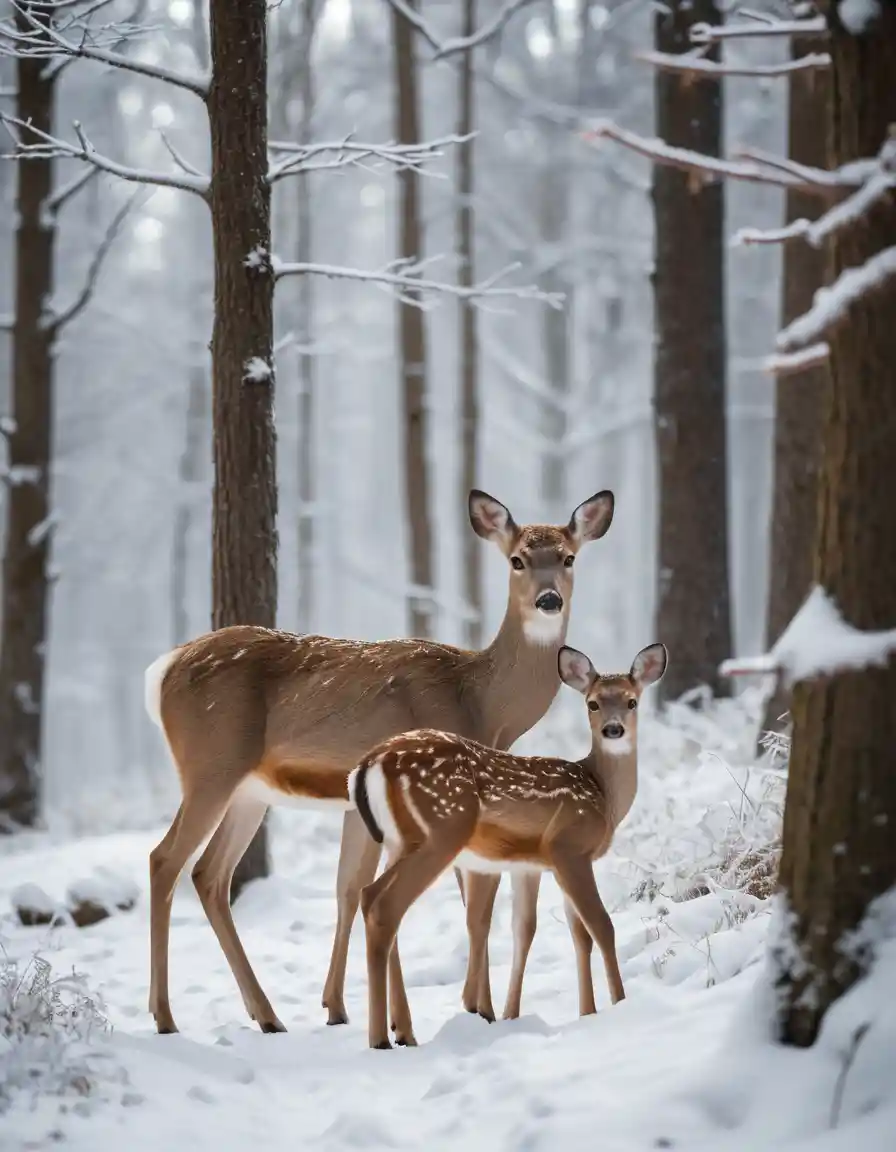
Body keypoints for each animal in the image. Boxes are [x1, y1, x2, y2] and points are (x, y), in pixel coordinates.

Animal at [144, 488, 615, 1039]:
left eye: (568, 557)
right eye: (516, 559)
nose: (548, 600)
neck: (481, 703)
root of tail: (163, 670)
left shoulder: (363, 807)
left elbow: (350, 888)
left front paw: (341, 1008)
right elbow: (469, 903)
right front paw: (472, 1011)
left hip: (249, 790)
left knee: (210, 875)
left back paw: (268, 1015)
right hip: (210, 766)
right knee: (165, 860)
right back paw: (166, 1016)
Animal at [350, 641, 667, 1049]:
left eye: (632, 701)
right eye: (593, 703)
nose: (614, 729)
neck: (603, 795)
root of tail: (368, 764)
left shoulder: (532, 865)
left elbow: (552, 933)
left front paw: (574, 1012)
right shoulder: (569, 847)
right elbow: (601, 925)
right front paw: (619, 1003)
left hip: (399, 842)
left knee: (369, 896)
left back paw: (399, 1031)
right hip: (442, 830)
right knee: (385, 905)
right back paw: (382, 1038)